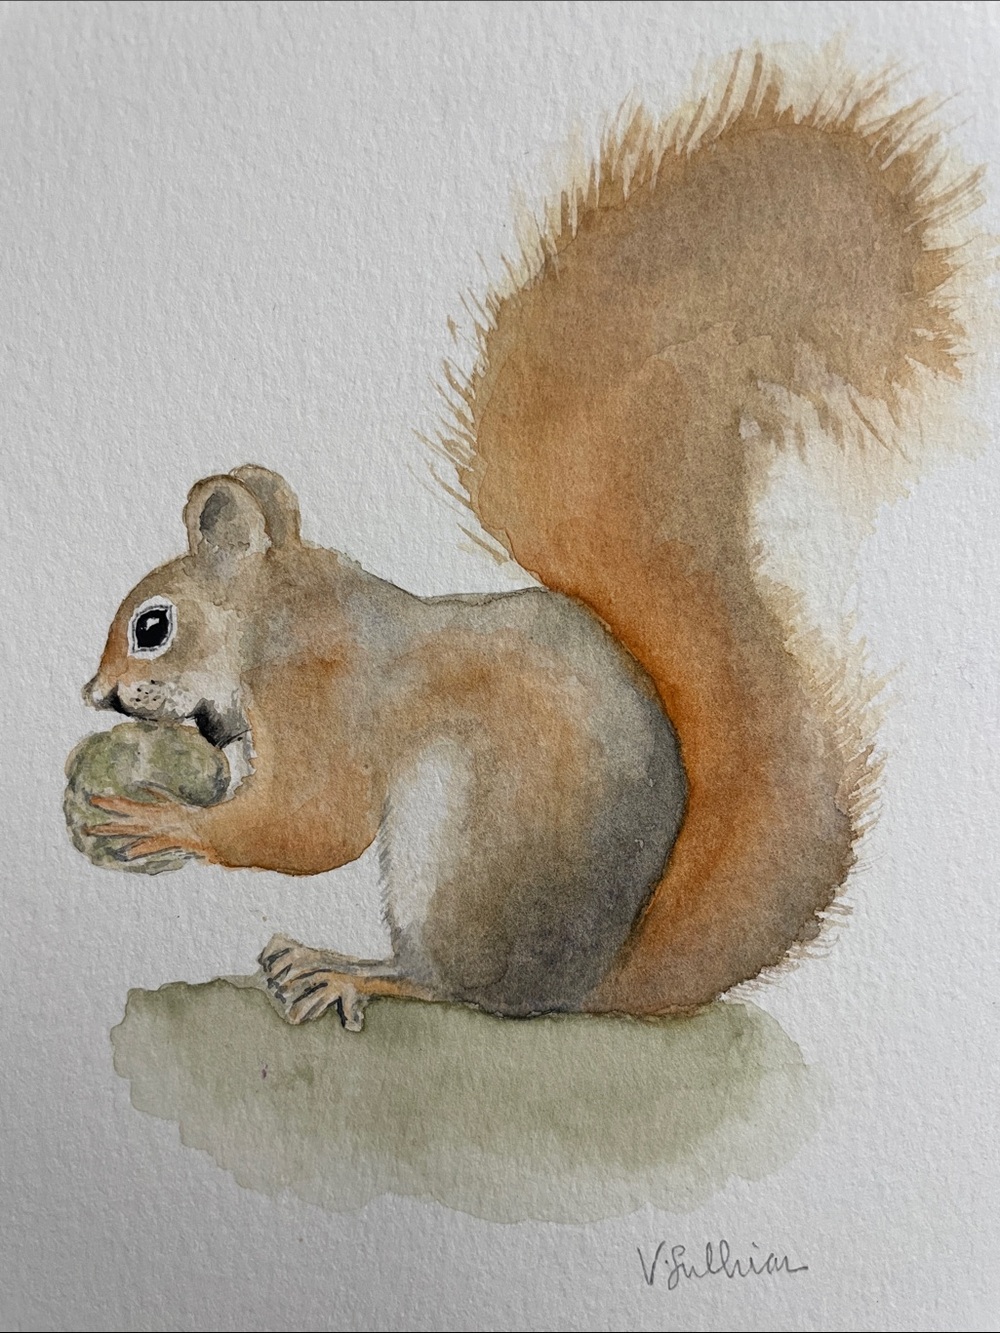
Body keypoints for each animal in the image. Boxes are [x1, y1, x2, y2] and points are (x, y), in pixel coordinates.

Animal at [82, 52, 980, 1030]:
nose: (95, 693)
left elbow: (308, 825)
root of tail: (587, 985)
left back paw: (352, 970)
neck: (275, 621)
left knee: (454, 984)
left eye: (152, 625)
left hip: (458, 859)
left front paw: (163, 821)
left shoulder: (325, 702)